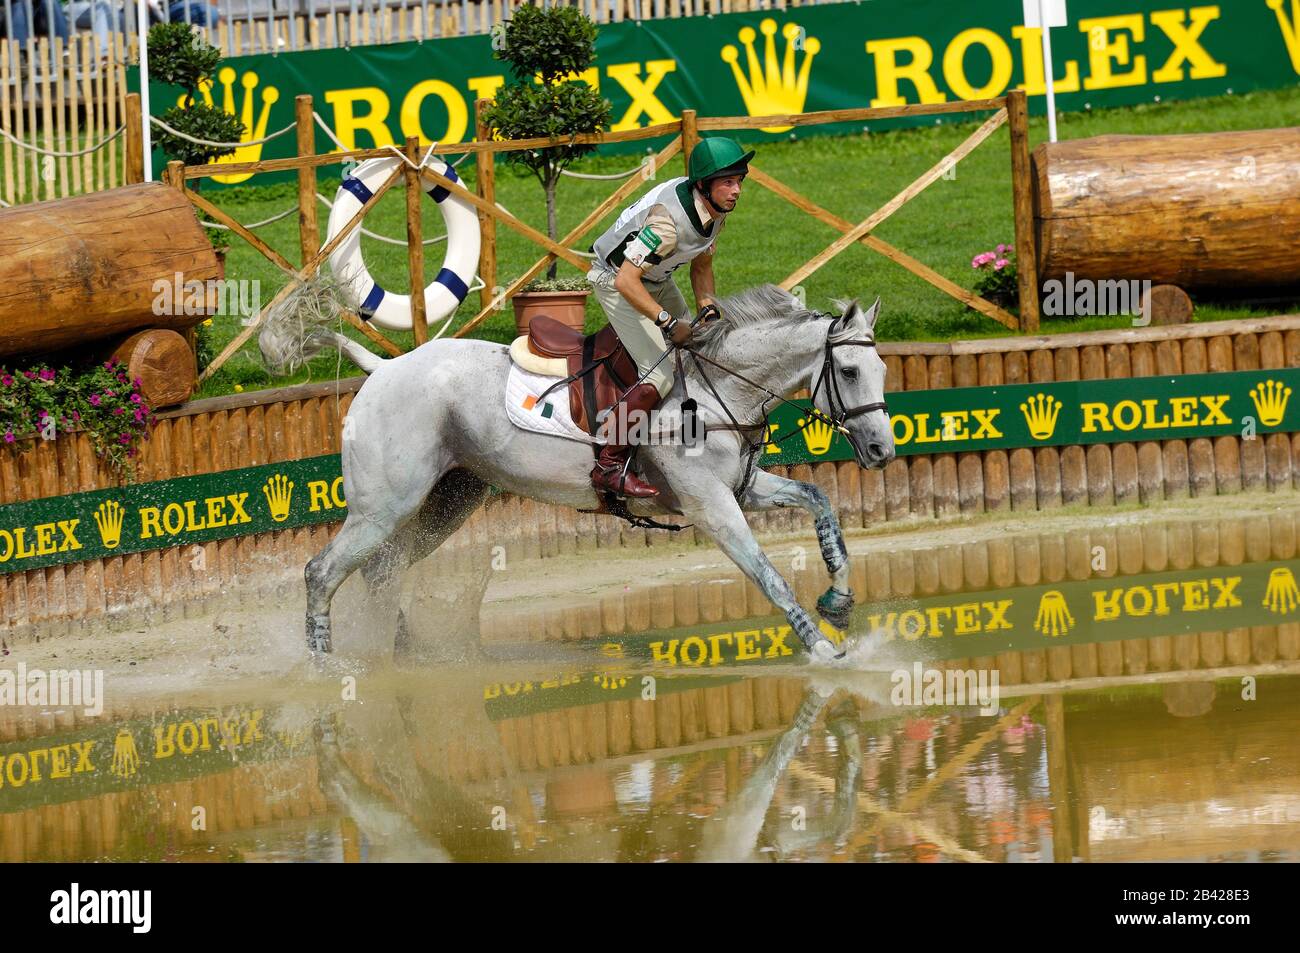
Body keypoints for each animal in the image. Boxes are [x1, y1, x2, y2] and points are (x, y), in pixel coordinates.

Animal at [260, 284, 899, 660]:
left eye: (883, 370)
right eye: (847, 371)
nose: (880, 451)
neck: (720, 388)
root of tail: (384, 368)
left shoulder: (742, 489)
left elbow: (819, 502)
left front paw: (839, 601)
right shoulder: (711, 507)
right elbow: (769, 576)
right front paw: (823, 650)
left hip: (449, 501)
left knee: (381, 572)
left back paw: (396, 658)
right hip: (383, 507)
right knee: (322, 572)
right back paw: (327, 669)